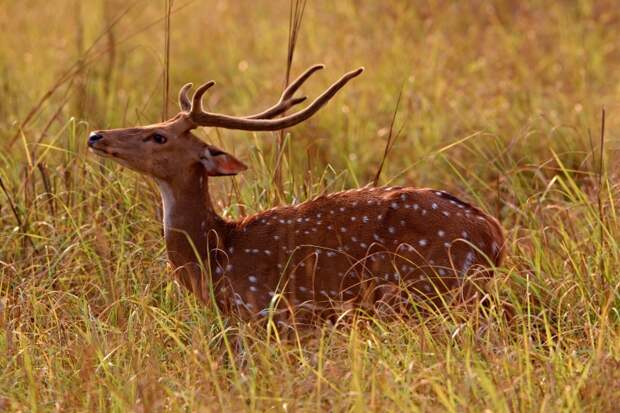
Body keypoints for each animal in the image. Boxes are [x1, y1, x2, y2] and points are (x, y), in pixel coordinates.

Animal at [88, 64, 504, 320]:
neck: (215, 256)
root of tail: (495, 236)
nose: (96, 135)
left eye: (159, 136)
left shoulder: (268, 311)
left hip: (425, 287)